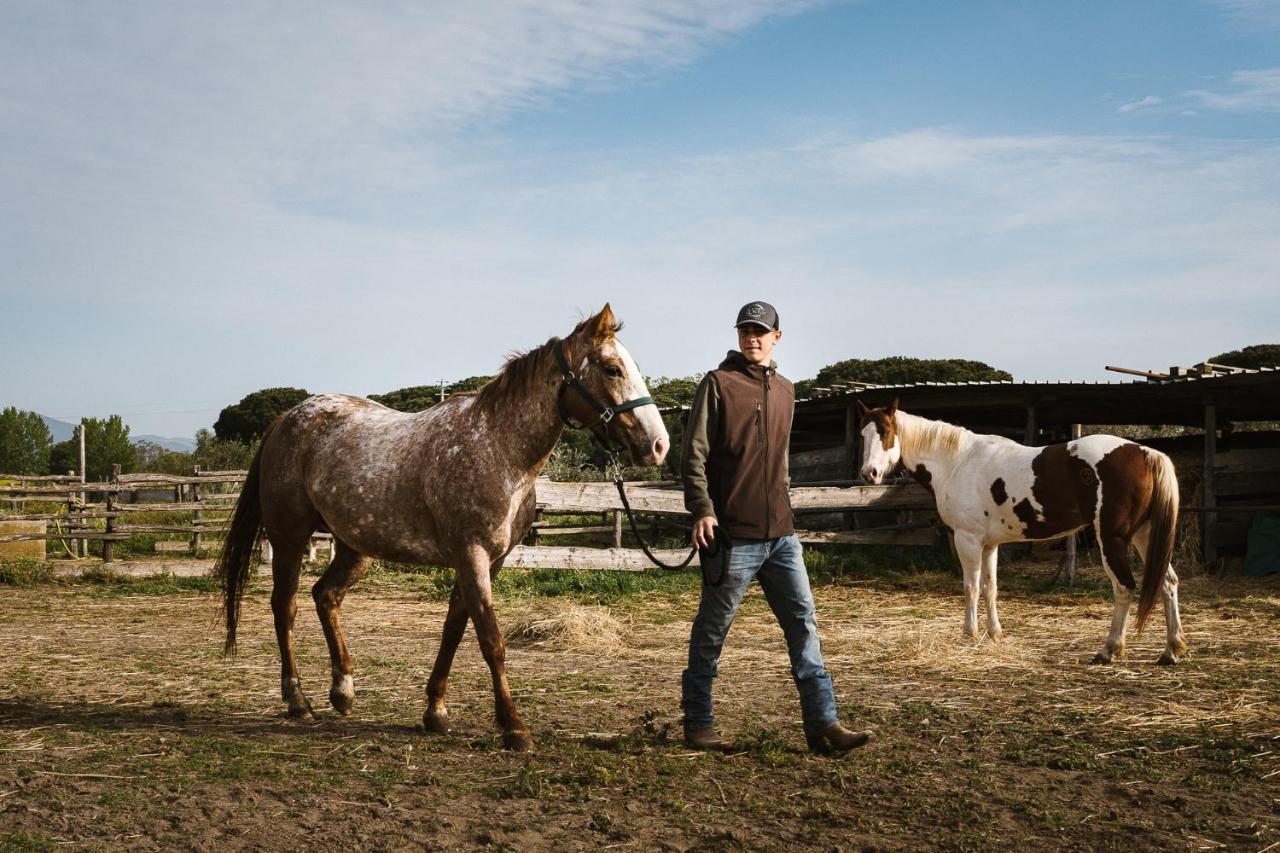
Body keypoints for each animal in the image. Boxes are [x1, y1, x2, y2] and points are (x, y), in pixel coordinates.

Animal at [216, 303, 670, 742]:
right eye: (612, 369)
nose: (658, 445)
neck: (497, 448)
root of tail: (286, 419)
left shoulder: (490, 561)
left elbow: (454, 628)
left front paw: (436, 711)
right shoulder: (471, 555)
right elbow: (490, 638)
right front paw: (513, 726)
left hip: (355, 547)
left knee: (326, 596)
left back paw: (343, 691)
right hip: (289, 537)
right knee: (285, 607)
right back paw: (298, 702)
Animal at [855, 399, 1182, 666]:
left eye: (886, 431)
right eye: (863, 435)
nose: (869, 473)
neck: (958, 461)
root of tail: (1145, 452)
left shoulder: (967, 539)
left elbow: (970, 587)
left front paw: (970, 634)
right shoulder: (989, 545)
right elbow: (990, 588)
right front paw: (994, 633)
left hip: (1112, 539)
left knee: (1124, 587)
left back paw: (1108, 650)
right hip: (1144, 536)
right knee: (1167, 582)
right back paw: (1171, 650)